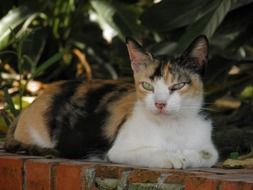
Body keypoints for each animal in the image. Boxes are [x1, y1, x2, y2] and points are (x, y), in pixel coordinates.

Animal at [3, 35, 218, 168]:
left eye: (178, 85)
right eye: (147, 86)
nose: (160, 104)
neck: (171, 126)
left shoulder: (209, 148)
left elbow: (207, 155)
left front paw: (184, 155)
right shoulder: (118, 150)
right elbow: (149, 151)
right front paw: (171, 156)